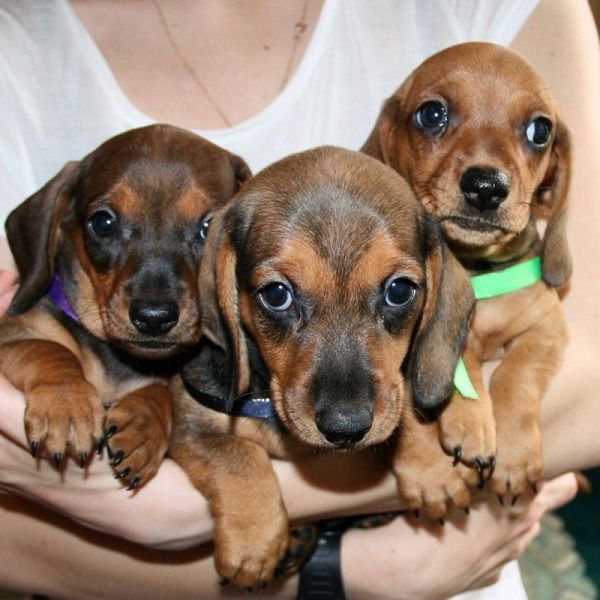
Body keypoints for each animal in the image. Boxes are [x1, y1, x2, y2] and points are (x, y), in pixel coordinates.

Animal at [0, 123, 250, 489]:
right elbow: (46, 349)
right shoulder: (11, 336)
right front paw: (67, 403)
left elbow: (160, 390)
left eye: (209, 226)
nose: (154, 318)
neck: (115, 362)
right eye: (103, 223)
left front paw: (143, 427)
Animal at [168, 145, 474, 588]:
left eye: (399, 290)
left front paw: (429, 466)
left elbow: (402, 403)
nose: (345, 429)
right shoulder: (193, 423)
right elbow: (236, 457)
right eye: (276, 294)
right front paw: (253, 540)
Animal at [362, 41, 571, 504]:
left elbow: (515, 376)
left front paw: (512, 453)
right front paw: (438, 463)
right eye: (432, 114)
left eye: (540, 130)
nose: (486, 187)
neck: (477, 272)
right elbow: (449, 374)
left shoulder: (548, 329)